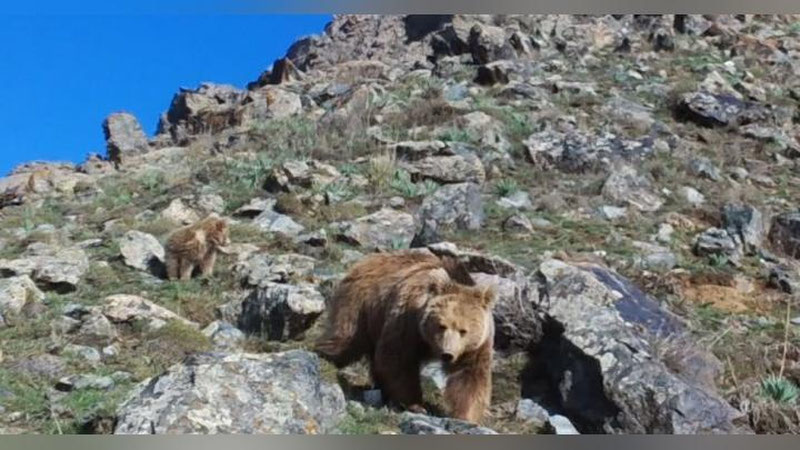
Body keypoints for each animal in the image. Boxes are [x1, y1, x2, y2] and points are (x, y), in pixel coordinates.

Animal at [314, 250, 494, 422]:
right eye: (442, 325)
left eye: (463, 331)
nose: (447, 354)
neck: (429, 342)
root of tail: (370, 259)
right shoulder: (408, 320)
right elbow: (396, 358)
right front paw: (416, 405)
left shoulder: (476, 346)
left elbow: (470, 376)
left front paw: (466, 416)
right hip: (360, 304)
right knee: (346, 340)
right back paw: (324, 355)